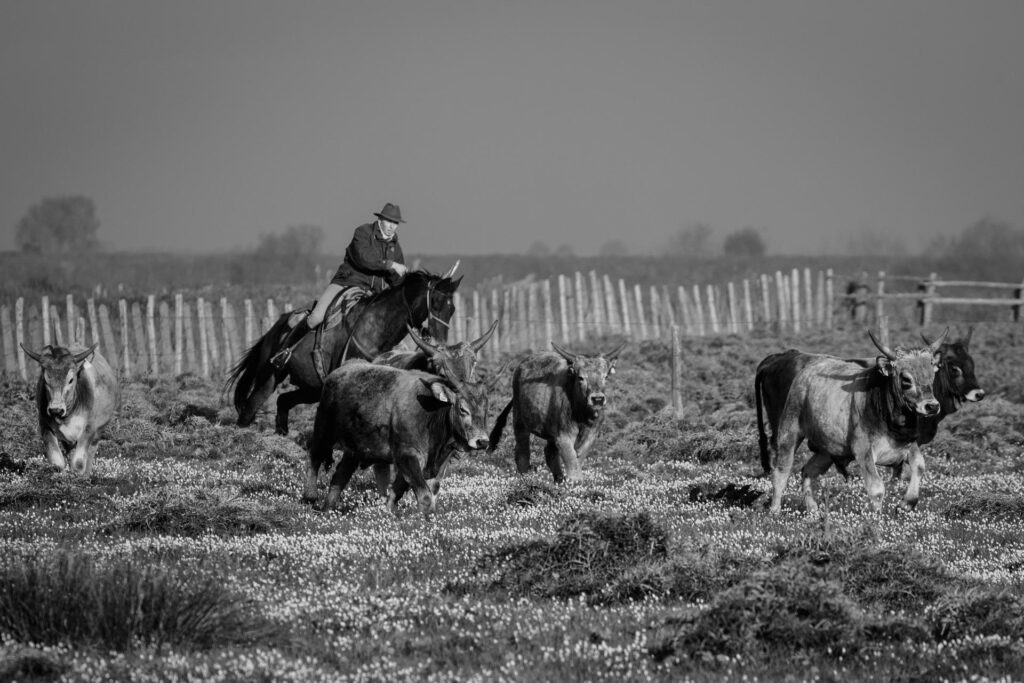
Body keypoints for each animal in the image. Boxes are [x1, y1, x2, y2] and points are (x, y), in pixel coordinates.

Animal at [21, 344, 120, 479]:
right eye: (45, 380)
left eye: (71, 380)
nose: (56, 410)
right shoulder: (45, 426)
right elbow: (57, 462)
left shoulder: (90, 428)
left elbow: (78, 463)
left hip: (99, 430)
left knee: (90, 451)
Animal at [230, 270, 462, 436]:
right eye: (435, 303)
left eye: (452, 309)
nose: (440, 343)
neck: (375, 326)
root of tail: (276, 327)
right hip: (269, 377)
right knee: (252, 405)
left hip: (311, 389)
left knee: (283, 401)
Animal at [487, 339, 622, 481]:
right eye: (581, 377)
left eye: (605, 377)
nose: (597, 399)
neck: (582, 414)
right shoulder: (563, 436)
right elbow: (572, 462)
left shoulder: (591, 434)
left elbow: (578, 457)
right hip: (520, 422)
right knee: (522, 452)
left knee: (549, 453)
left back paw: (559, 479)